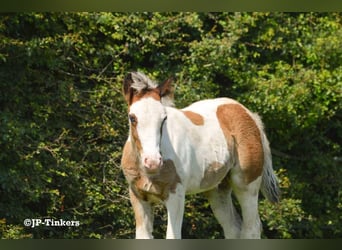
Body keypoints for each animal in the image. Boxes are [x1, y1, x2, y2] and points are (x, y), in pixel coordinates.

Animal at [121, 72, 280, 238]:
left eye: (164, 118)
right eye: (132, 117)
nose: (152, 162)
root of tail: (248, 114)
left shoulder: (176, 195)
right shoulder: (138, 196)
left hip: (246, 185)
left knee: (252, 228)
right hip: (218, 190)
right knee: (233, 228)